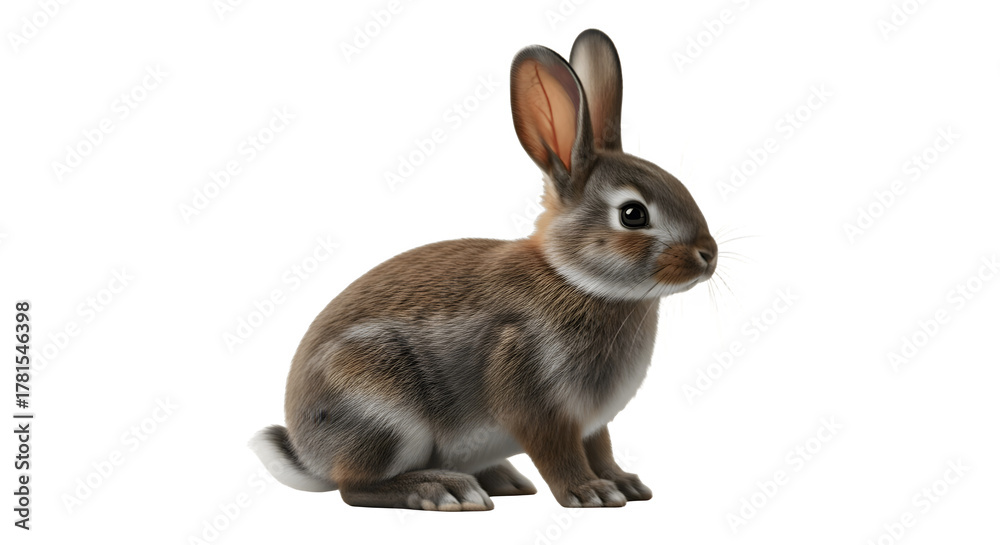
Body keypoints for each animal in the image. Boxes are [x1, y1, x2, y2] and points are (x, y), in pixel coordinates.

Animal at [249, 28, 717, 511]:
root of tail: (308, 454)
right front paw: (591, 493)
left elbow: (600, 449)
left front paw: (625, 484)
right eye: (633, 214)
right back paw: (443, 489)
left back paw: (501, 480)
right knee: (354, 486)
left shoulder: (591, 424)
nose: (709, 255)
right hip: (382, 413)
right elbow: (556, 453)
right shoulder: (535, 402)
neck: (574, 279)